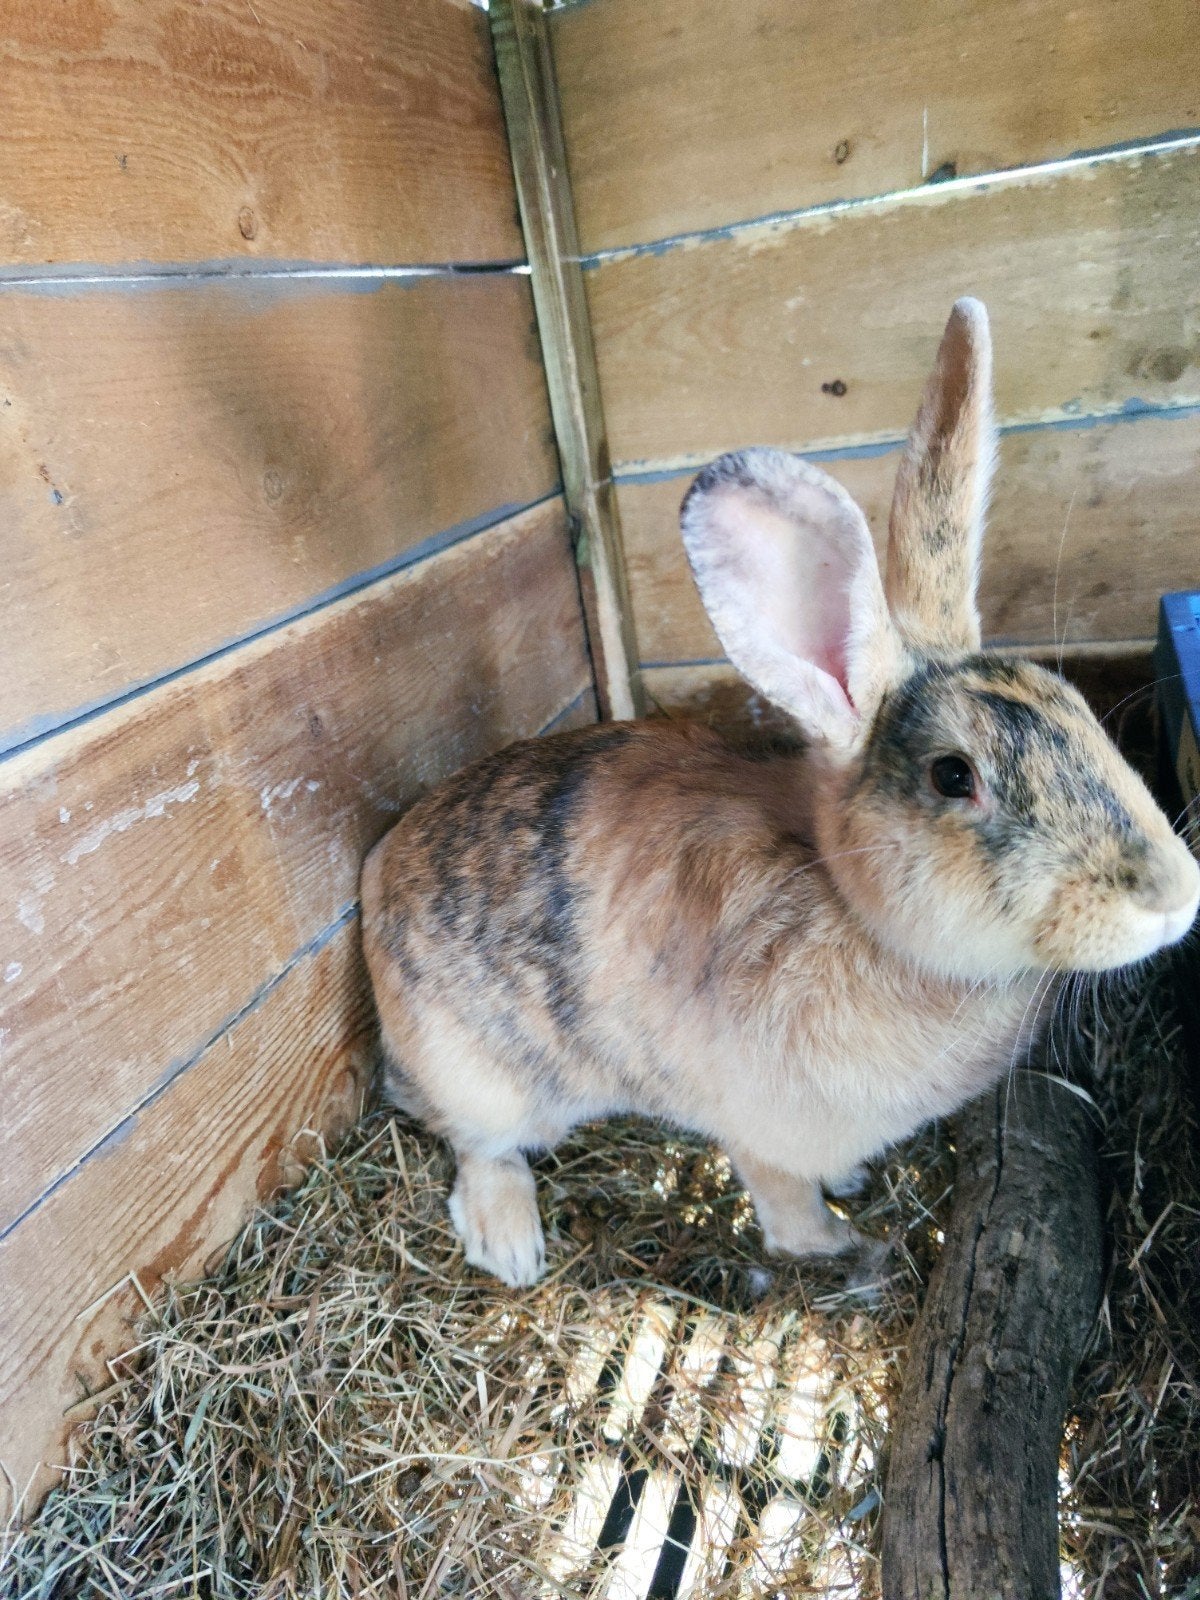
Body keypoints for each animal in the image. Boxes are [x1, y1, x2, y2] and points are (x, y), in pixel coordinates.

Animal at [361, 299, 1200, 1288]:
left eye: (1075, 707)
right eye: (954, 777)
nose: (1175, 895)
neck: (848, 903)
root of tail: (375, 873)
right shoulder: (761, 1131)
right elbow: (785, 1207)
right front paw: (842, 1246)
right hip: (490, 1080)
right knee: (475, 1142)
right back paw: (512, 1244)